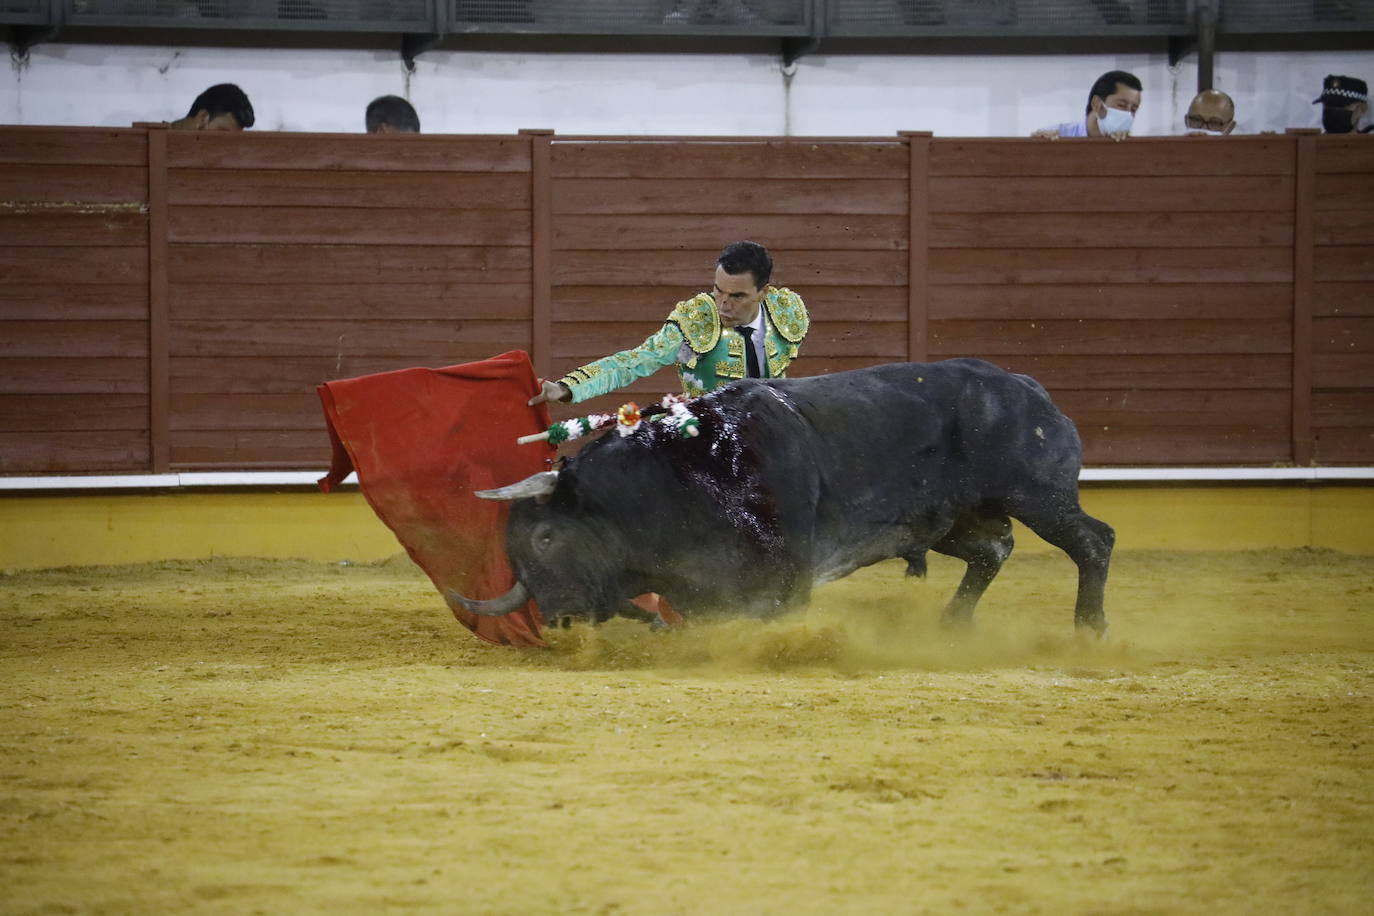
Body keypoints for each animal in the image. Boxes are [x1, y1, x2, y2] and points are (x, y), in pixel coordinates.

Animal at [450, 362, 1115, 634]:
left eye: (545, 535)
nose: (558, 618)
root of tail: (1026, 387)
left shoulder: (784, 575)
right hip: (948, 520)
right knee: (992, 550)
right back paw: (951, 625)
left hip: (1038, 495)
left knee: (1093, 540)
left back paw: (1089, 627)